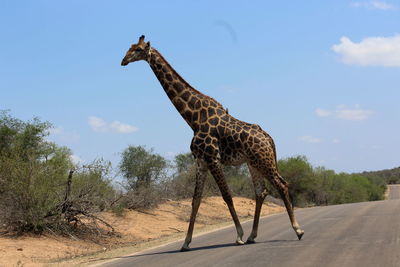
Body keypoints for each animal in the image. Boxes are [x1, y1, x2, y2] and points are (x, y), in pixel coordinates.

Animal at [121, 35, 304, 251]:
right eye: (130, 47)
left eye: (138, 49)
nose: (123, 61)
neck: (192, 118)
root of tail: (269, 138)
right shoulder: (200, 161)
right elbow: (195, 200)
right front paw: (185, 242)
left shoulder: (212, 158)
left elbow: (226, 195)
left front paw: (238, 235)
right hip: (253, 163)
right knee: (261, 192)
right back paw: (253, 235)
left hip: (263, 161)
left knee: (282, 185)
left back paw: (297, 230)